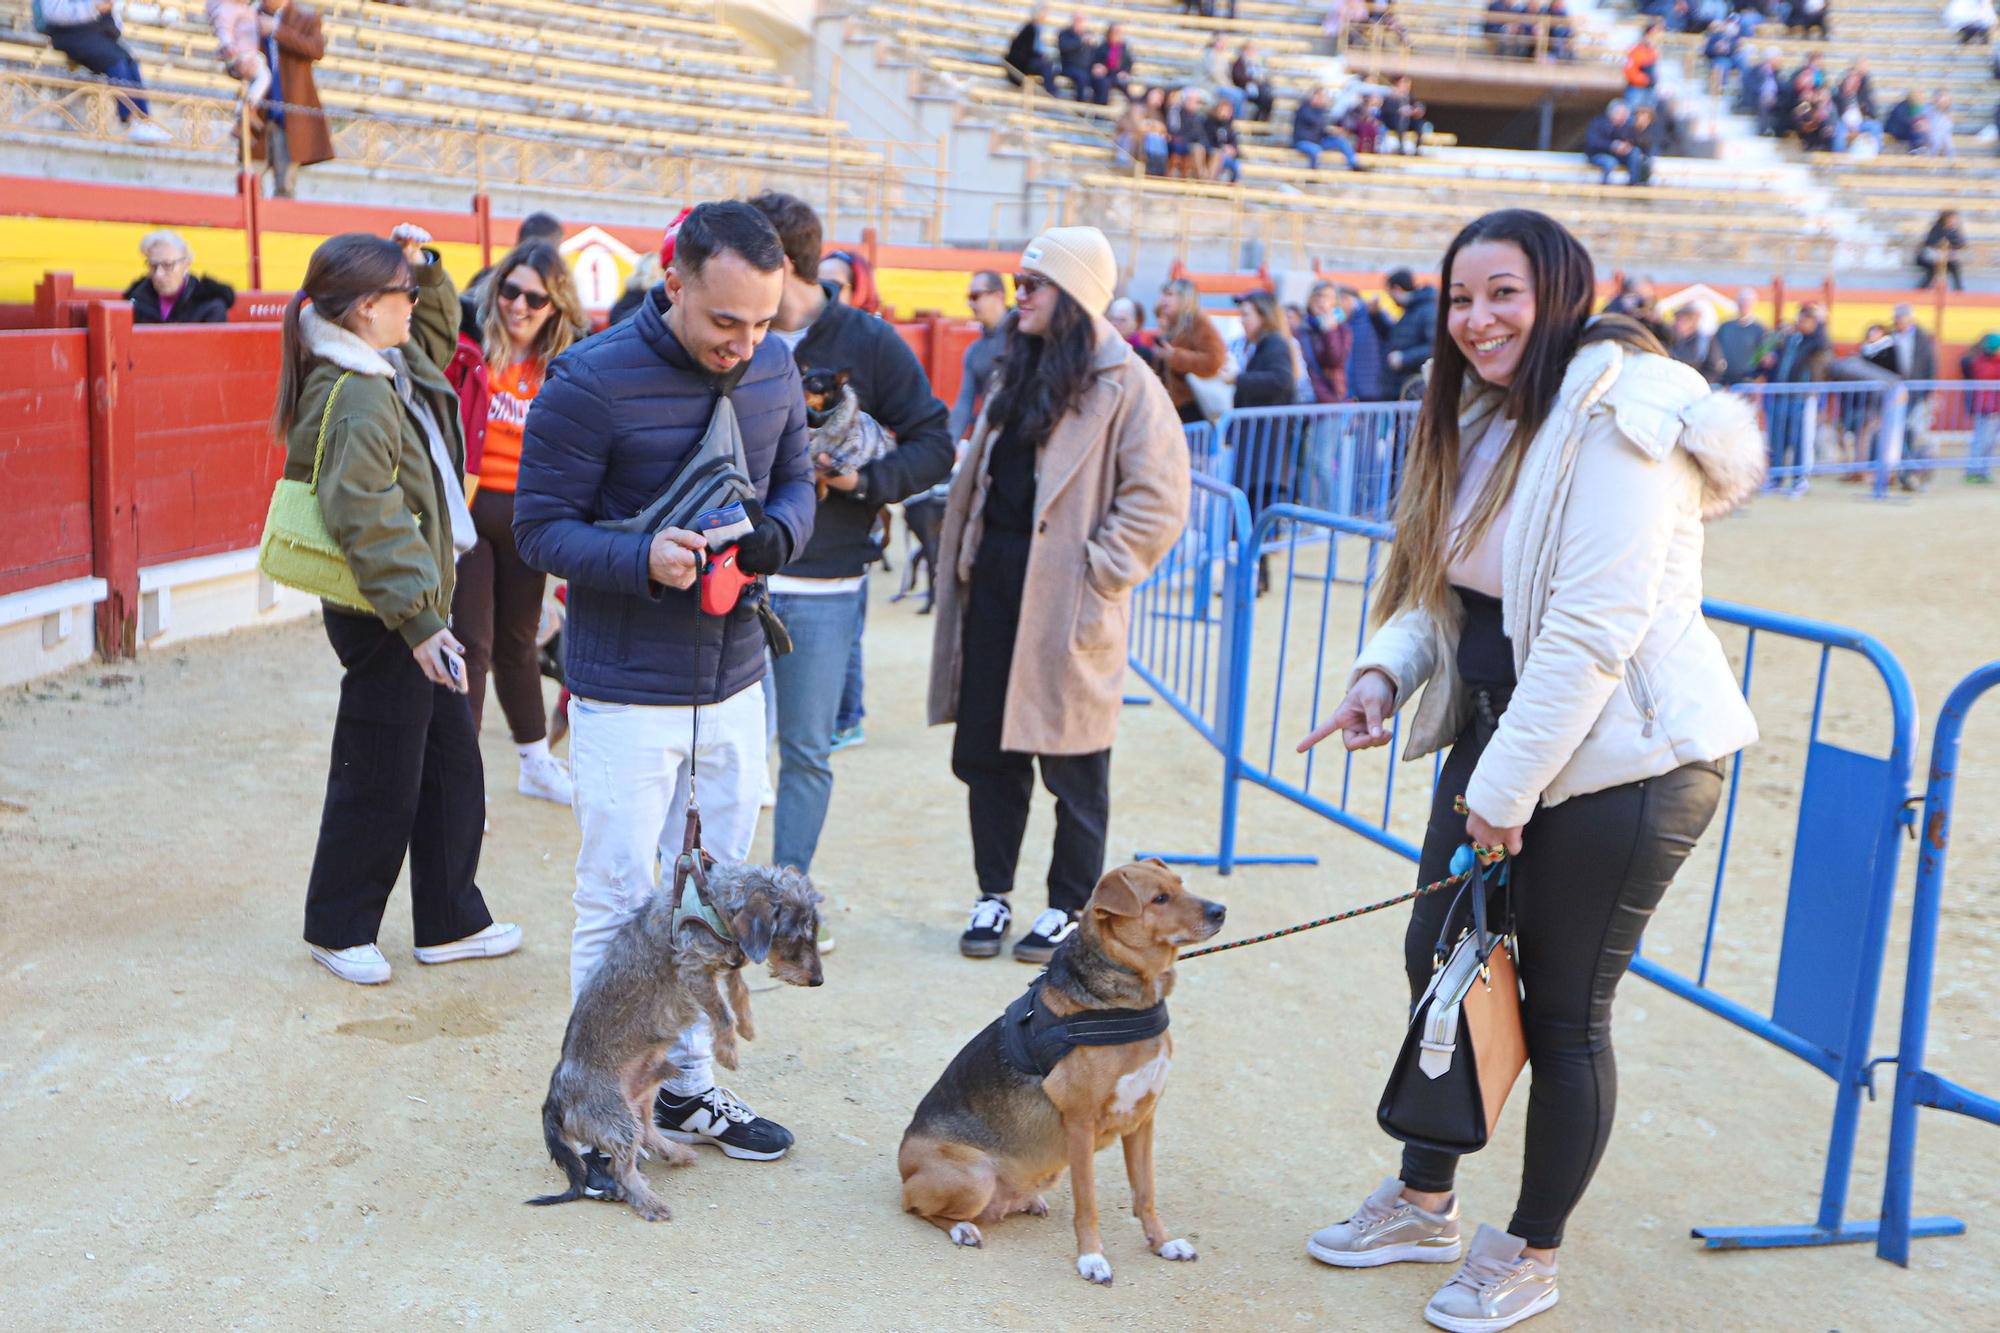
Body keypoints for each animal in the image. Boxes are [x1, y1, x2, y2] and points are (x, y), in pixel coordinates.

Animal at [528, 860, 824, 1216]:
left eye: (815, 933)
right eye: (795, 938)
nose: (818, 980)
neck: (712, 900)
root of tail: (554, 1098)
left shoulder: (726, 961)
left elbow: (739, 987)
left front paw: (747, 1026)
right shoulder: (694, 968)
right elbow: (722, 1011)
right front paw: (727, 1051)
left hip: (645, 1094)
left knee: (647, 1131)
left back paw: (676, 1152)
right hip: (617, 1119)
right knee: (622, 1168)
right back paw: (649, 1202)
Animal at [904, 856, 1216, 1280]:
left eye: (1182, 885)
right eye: (1160, 899)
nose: (1221, 911)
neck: (1126, 1002)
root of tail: (903, 1161)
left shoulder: (1142, 1119)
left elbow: (1145, 1194)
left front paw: (1162, 1243)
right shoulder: (1081, 1124)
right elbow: (1088, 1203)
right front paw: (1091, 1258)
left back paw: (1025, 1201)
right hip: (976, 1174)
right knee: (915, 1206)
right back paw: (962, 1228)